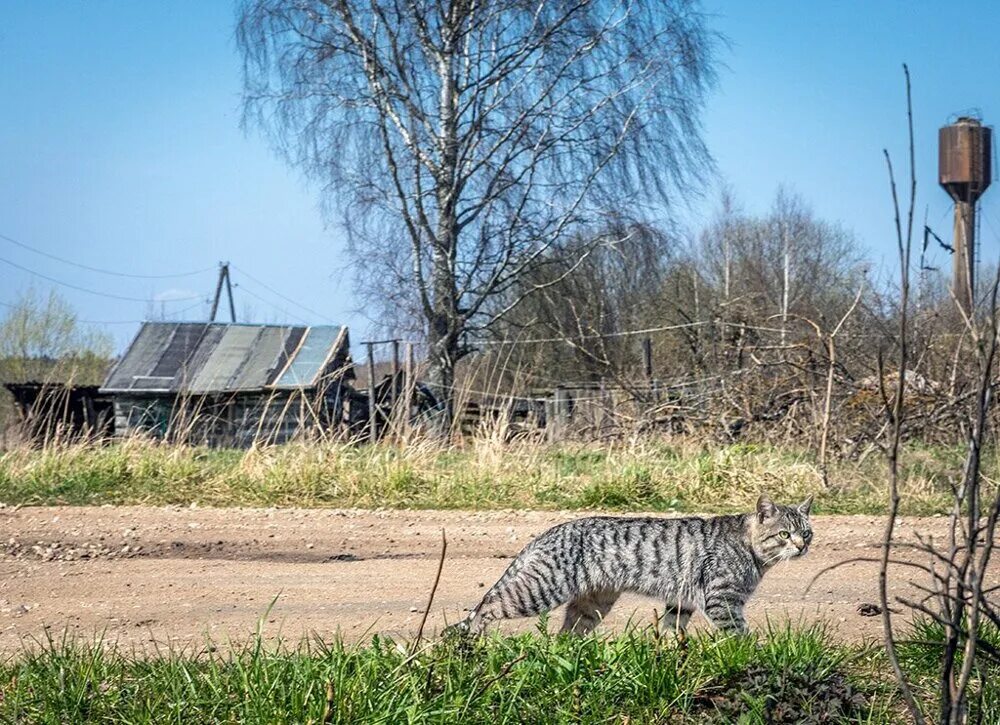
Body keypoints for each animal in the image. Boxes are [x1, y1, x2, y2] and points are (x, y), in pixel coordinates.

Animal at [450, 492, 808, 632]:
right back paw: (470, 639)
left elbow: (671, 632)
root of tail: (549, 532)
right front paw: (749, 653)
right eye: (785, 534)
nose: (802, 546)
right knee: (488, 605)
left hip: (591, 605)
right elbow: (738, 635)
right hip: (540, 591)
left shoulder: (682, 602)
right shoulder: (722, 600)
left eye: (806, 532)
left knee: (566, 634)